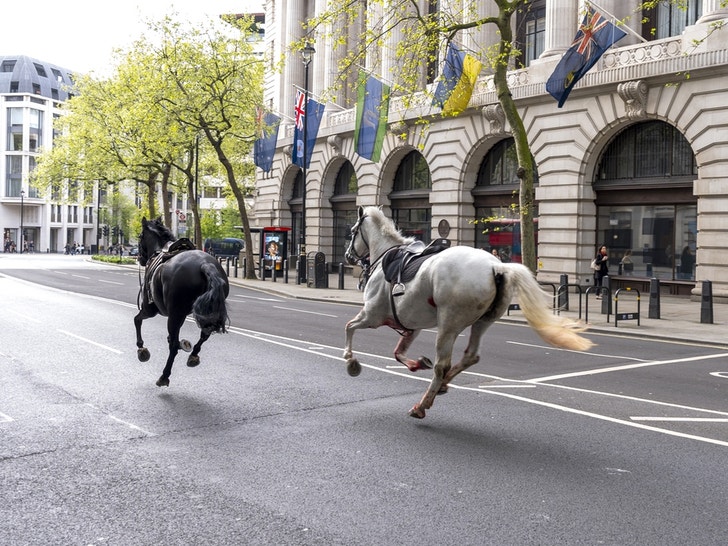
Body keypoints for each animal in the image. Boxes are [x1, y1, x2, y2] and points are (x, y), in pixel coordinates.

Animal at [134, 217, 230, 387]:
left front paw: (141, 348)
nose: (140, 258)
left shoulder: (150, 309)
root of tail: (205, 264)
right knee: (205, 333)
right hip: (204, 312)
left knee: (173, 346)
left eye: (140, 237)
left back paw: (164, 376)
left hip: (174, 314)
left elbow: (137, 320)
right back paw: (193, 355)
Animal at [343, 206, 593, 419]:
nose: (347, 256)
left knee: (442, 365)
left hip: (448, 324)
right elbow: (398, 352)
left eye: (353, 231)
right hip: (483, 321)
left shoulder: (372, 315)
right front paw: (416, 363)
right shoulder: (411, 324)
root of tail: (497, 266)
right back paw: (442, 385)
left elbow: (349, 327)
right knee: (470, 356)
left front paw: (350, 360)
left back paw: (422, 404)